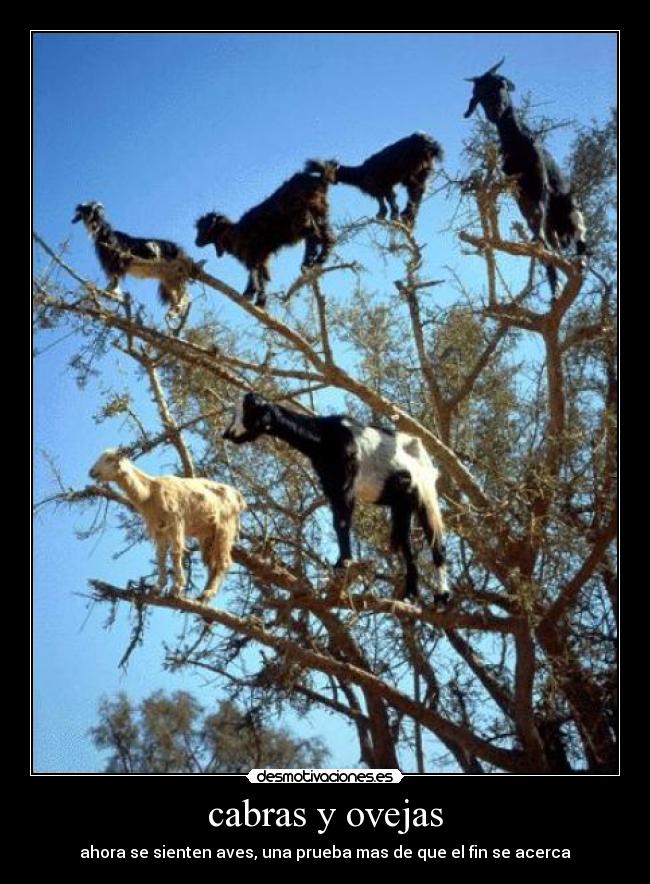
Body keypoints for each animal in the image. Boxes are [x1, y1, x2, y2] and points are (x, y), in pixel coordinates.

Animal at [88, 448, 246, 600]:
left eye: (109, 458)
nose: (91, 472)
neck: (149, 493)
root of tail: (239, 498)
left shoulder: (176, 521)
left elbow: (175, 553)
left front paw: (176, 589)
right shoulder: (158, 528)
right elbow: (160, 555)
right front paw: (158, 588)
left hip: (225, 527)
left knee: (223, 561)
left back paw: (208, 593)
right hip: (207, 533)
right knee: (211, 562)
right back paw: (203, 595)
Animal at [192, 161, 334, 308]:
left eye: (204, 227)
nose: (196, 242)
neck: (233, 233)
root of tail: (318, 180)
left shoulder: (253, 253)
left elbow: (255, 274)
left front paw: (251, 295)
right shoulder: (262, 257)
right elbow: (263, 276)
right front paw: (258, 300)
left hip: (301, 215)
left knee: (312, 235)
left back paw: (308, 261)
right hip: (319, 212)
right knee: (327, 236)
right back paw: (321, 258)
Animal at [220, 396, 448, 608]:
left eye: (250, 411)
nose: (228, 434)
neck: (323, 437)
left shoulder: (345, 486)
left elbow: (342, 523)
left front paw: (344, 563)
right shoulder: (331, 487)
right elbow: (338, 523)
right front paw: (341, 563)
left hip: (426, 494)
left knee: (436, 542)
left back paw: (442, 597)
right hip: (401, 502)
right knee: (405, 543)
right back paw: (410, 595)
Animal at [308, 133, 440, 228]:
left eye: (326, 169)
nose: (320, 181)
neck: (361, 173)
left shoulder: (381, 185)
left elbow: (388, 198)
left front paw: (389, 214)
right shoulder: (380, 187)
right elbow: (384, 199)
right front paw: (384, 214)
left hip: (411, 171)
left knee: (414, 191)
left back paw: (406, 216)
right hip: (422, 172)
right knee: (417, 192)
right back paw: (409, 217)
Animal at [460, 58, 588, 296]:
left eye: (501, 84)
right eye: (478, 96)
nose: (495, 112)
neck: (517, 142)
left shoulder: (540, 181)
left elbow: (538, 215)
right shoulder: (518, 190)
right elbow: (534, 223)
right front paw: (545, 263)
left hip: (571, 209)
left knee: (579, 235)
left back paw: (579, 263)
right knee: (554, 241)